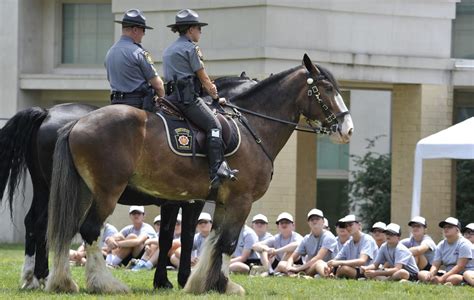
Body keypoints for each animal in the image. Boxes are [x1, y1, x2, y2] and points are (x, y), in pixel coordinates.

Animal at [0, 75, 258, 290]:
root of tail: (48, 113)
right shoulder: (191, 202)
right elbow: (184, 237)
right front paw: (182, 279)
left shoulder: (172, 201)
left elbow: (166, 237)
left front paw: (163, 280)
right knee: (47, 225)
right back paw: (45, 276)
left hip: (45, 189)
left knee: (35, 223)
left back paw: (34, 277)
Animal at [47, 54, 352, 296]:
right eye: (327, 89)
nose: (347, 129)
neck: (253, 126)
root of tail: (78, 123)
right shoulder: (239, 200)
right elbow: (226, 243)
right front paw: (224, 284)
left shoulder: (218, 201)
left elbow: (212, 241)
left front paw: (205, 283)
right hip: (107, 192)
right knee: (89, 231)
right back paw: (104, 284)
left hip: (84, 193)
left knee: (67, 230)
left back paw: (63, 282)